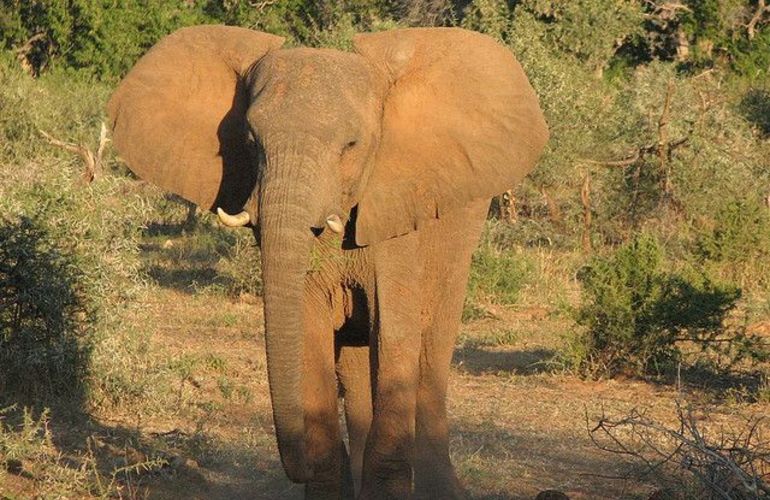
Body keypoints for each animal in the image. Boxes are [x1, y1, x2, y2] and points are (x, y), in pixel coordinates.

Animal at [107, 25, 548, 499]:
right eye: (250, 142)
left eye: (351, 145)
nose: (294, 468)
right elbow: (308, 331)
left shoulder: (397, 217)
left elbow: (394, 337)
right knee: (354, 368)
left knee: (431, 352)